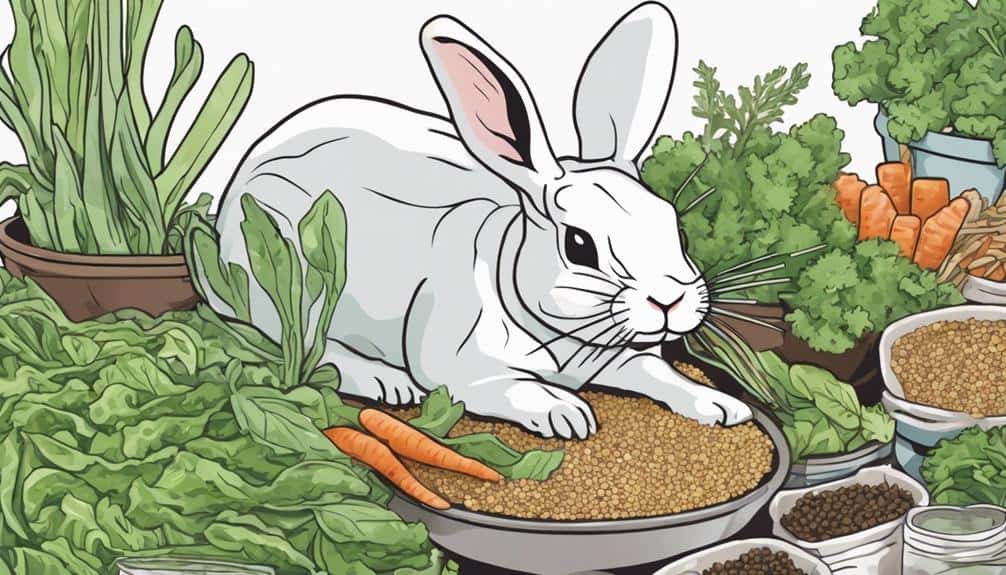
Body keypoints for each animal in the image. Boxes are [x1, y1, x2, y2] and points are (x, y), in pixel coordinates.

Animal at [209, 1, 753, 439]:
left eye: (674, 227)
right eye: (579, 245)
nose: (671, 299)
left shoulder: (620, 355)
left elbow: (659, 374)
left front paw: (724, 406)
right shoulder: (460, 367)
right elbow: (512, 387)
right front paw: (567, 414)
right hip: (292, 286)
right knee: (308, 349)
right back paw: (388, 383)